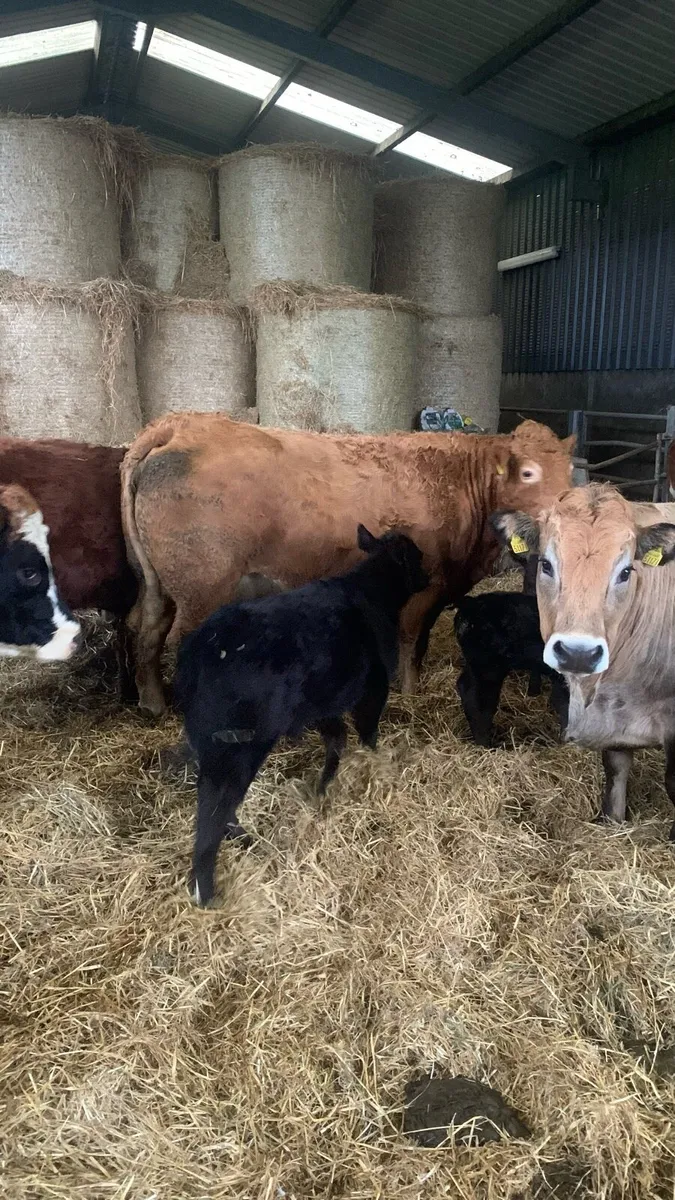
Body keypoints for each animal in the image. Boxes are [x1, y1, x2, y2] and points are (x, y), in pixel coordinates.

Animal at [120, 413, 575, 716]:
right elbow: (409, 639)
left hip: (160, 584)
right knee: (178, 640)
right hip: (202, 588)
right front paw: (408, 692)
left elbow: (417, 641)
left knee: (146, 629)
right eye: (529, 473)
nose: (567, 511)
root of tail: (180, 423)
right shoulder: (423, 586)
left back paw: (153, 703)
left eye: (571, 470)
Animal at [175, 525, 428, 905]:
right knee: (213, 808)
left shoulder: (320, 703)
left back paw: (242, 841)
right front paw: (373, 768)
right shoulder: (373, 689)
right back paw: (206, 890)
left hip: (211, 742)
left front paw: (323, 789)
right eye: (418, 556)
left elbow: (336, 739)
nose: (429, 577)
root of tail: (198, 650)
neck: (370, 593)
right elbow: (367, 733)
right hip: (238, 746)